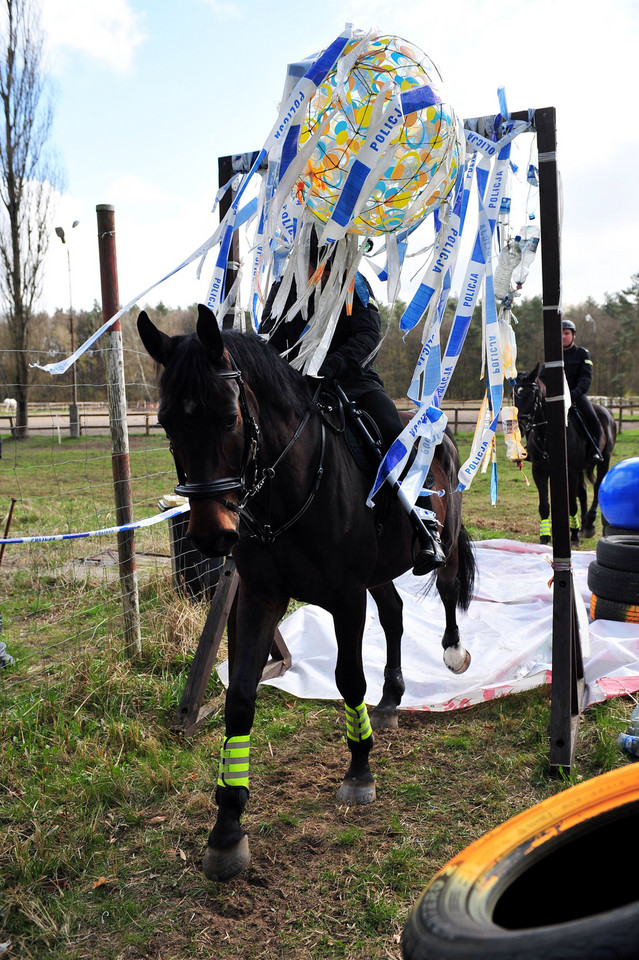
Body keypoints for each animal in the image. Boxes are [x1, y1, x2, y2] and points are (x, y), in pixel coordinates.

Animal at [141, 304, 480, 880]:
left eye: (228, 417)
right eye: (167, 423)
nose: (210, 536)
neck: (291, 485)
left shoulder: (345, 597)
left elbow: (348, 680)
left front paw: (359, 771)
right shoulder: (260, 597)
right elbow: (240, 697)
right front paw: (227, 828)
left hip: (445, 540)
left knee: (450, 584)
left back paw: (453, 653)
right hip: (378, 574)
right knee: (394, 615)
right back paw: (391, 698)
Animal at [512, 364, 616, 544]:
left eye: (531, 394)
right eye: (513, 394)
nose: (520, 426)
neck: (548, 434)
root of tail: (606, 412)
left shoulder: (570, 471)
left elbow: (571, 504)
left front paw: (573, 534)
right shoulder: (539, 471)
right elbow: (544, 506)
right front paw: (545, 537)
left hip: (604, 460)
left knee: (597, 486)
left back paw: (589, 522)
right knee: (583, 491)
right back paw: (584, 526)